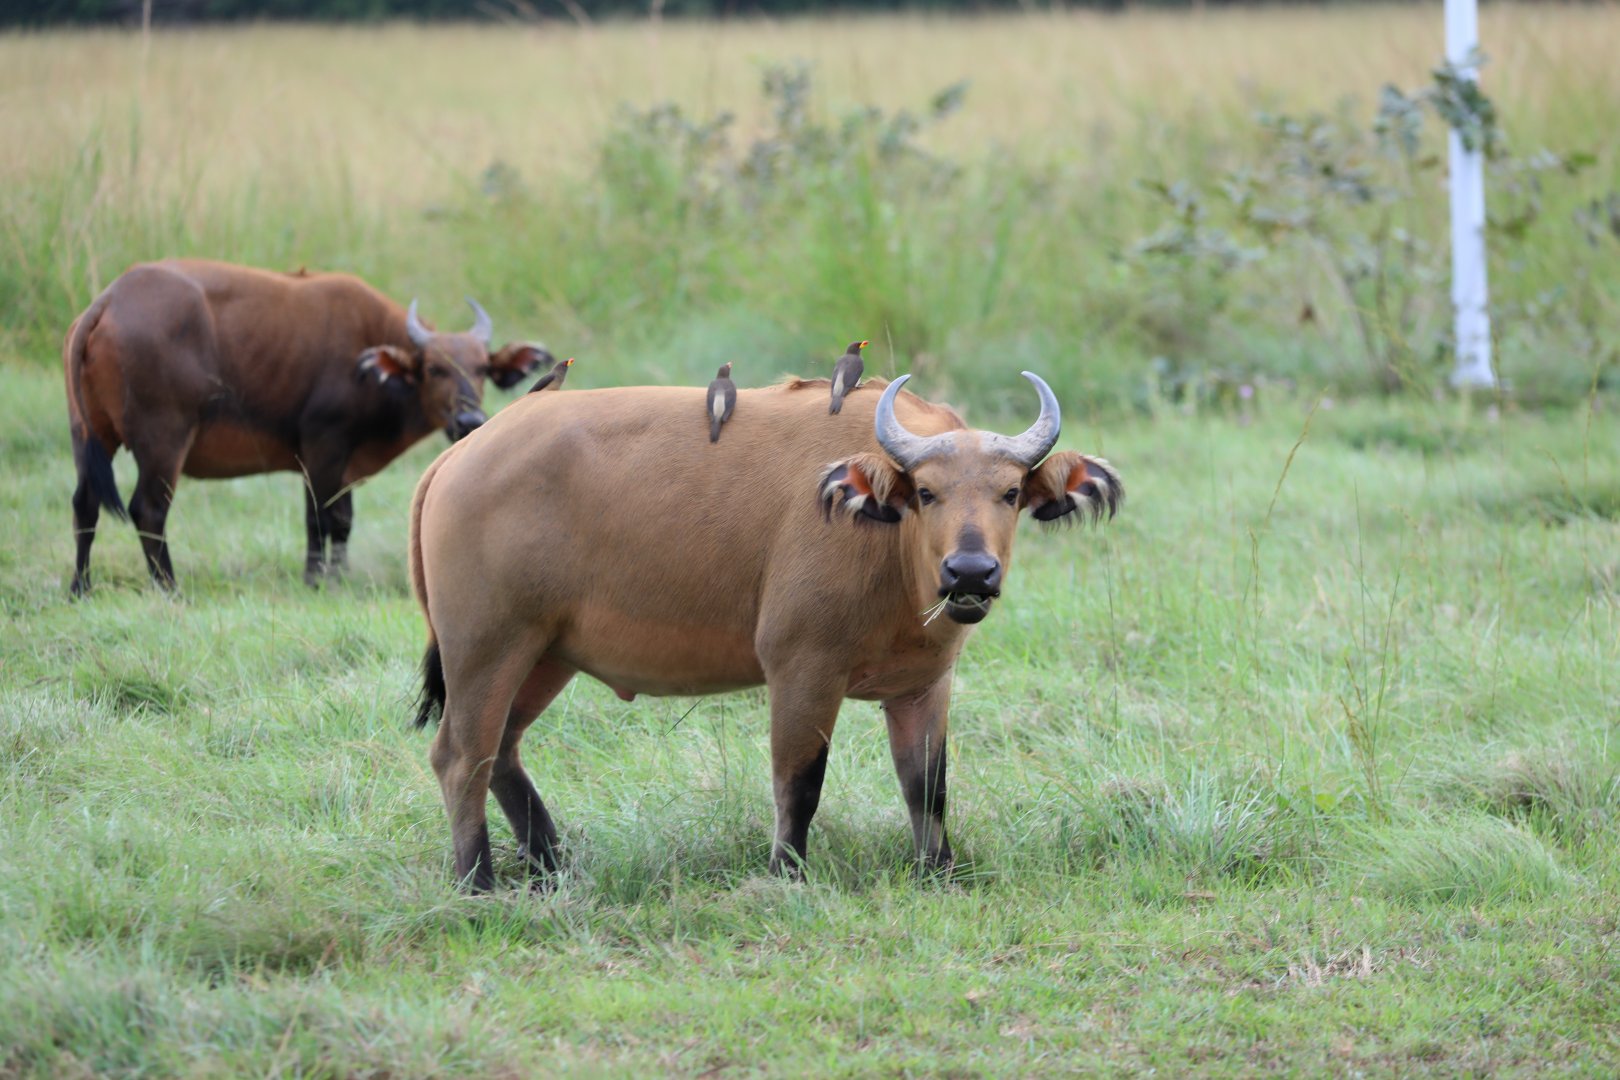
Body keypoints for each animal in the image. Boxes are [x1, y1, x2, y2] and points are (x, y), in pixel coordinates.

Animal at [63, 259, 551, 593]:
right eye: (434, 369)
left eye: (483, 368)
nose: (470, 420)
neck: (367, 360)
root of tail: (109, 300)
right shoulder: (323, 446)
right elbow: (321, 517)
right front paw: (317, 580)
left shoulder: (334, 459)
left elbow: (343, 520)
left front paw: (340, 574)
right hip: (163, 440)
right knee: (148, 509)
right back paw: (169, 588)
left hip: (89, 436)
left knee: (85, 503)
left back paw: (80, 588)